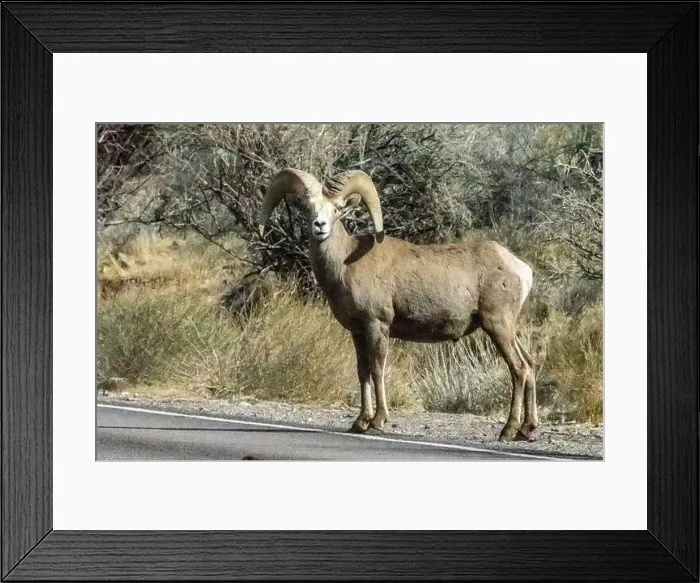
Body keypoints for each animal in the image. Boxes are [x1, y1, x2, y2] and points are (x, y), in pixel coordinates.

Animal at [258, 168, 538, 442]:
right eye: (308, 208)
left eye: (337, 209)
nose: (320, 226)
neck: (346, 264)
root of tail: (521, 269)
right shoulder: (358, 332)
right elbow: (362, 372)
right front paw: (359, 422)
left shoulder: (377, 325)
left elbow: (377, 370)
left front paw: (377, 422)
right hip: (507, 330)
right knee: (530, 364)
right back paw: (527, 430)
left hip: (497, 326)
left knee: (518, 368)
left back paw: (508, 430)